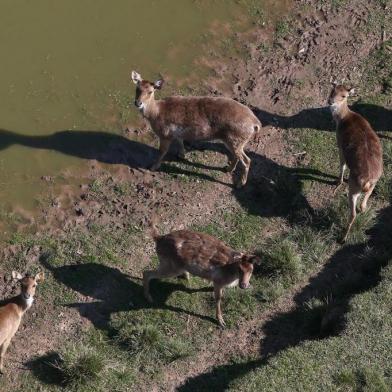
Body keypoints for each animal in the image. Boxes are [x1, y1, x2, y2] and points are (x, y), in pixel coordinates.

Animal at [130, 71, 262, 188]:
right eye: (137, 88)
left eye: (150, 91)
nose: (138, 103)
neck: (156, 113)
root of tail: (256, 123)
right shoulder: (176, 133)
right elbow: (180, 141)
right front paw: (181, 155)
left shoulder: (165, 134)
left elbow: (162, 151)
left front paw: (152, 167)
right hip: (234, 141)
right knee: (237, 156)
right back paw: (227, 169)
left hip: (236, 139)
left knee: (247, 160)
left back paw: (239, 184)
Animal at [328, 85, 382, 242]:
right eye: (332, 90)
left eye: (344, 95)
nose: (330, 101)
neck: (343, 118)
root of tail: (367, 182)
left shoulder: (339, 144)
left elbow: (342, 165)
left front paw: (337, 183)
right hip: (374, 184)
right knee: (363, 205)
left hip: (353, 188)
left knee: (352, 214)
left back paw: (342, 238)